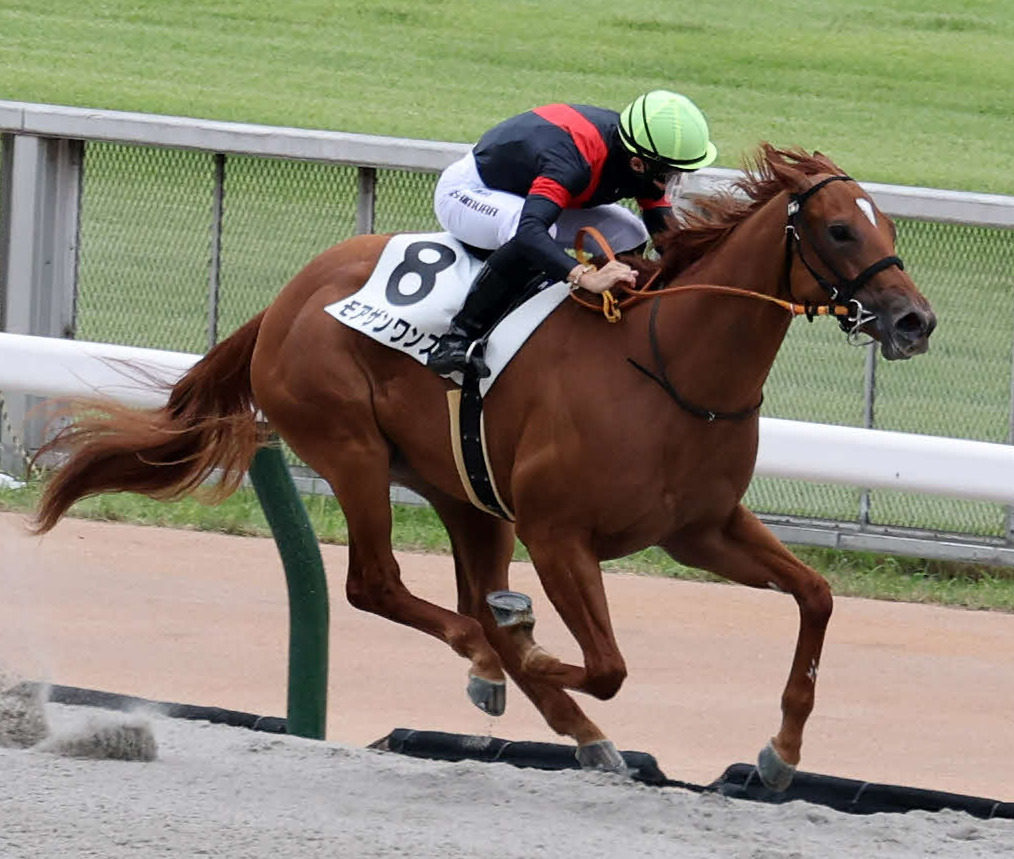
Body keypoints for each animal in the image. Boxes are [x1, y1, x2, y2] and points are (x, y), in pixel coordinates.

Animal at [31, 144, 935, 789]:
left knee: (461, 589)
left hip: (465, 493)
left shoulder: (701, 529)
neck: (668, 362)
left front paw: (781, 752)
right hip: (352, 448)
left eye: (889, 227)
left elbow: (815, 597)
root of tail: (285, 299)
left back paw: (563, 714)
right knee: (376, 583)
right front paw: (521, 646)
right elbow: (607, 664)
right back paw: (496, 657)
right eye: (841, 230)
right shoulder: (558, 532)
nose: (915, 319)